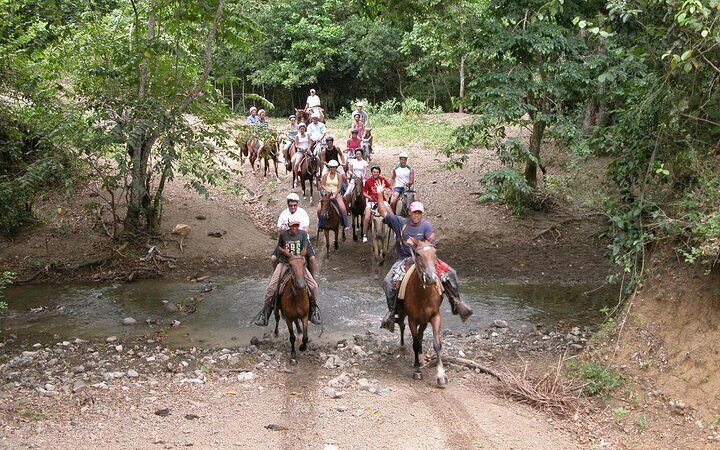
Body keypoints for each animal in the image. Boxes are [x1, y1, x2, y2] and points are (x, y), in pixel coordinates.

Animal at [396, 243, 448, 386]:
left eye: (435, 253)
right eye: (418, 254)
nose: (431, 278)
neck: (423, 295)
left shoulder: (435, 317)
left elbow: (437, 344)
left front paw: (441, 375)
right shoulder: (412, 320)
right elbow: (415, 343)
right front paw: (417, 371)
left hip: (424, 320)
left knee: (420, 335)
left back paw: (420, 357)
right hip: (403, 314)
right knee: (402, 326)